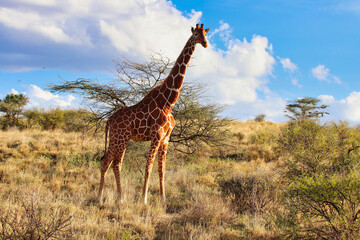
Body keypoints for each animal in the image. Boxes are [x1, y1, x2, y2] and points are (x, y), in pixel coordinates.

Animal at [98, 23, 211, 204]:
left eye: (206, 34)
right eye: (195, 34)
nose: (205, 44)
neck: (168, 102)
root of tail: (109, 120)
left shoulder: (166, 138)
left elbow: (161, 169)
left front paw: (163, 199)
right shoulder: (156, 135)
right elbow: (148, 167)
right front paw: (143, 199)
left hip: (115, 139)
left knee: (105, 162)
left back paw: (100, 197)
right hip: (122, 138)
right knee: (117, 164)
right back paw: (119, 198)